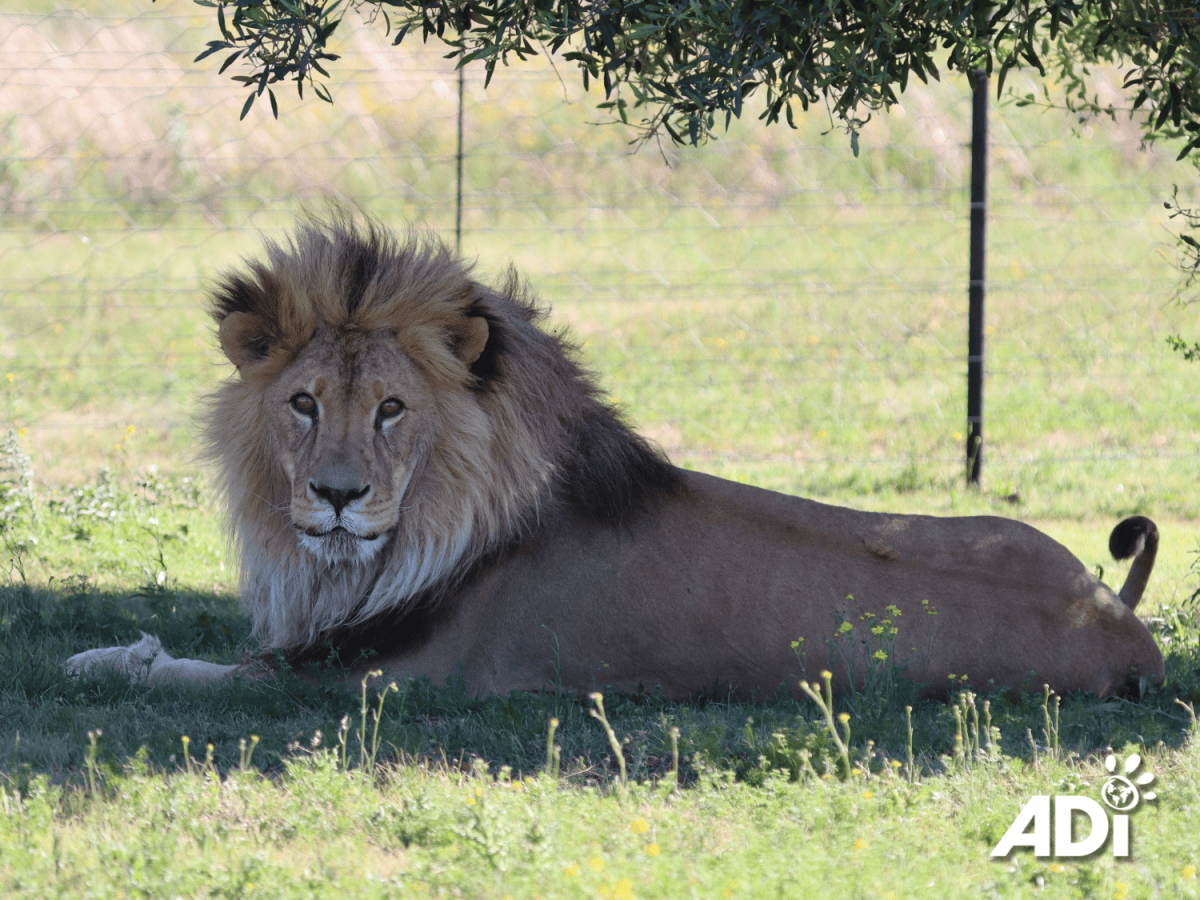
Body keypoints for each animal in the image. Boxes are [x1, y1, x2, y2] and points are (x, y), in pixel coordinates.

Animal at [67, 214, 1165, 699]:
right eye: (302, 404)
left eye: (390, 410)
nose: (336, 498)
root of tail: (1124, 621)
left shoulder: (381, 682)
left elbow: (189, 675)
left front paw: (101, 657)